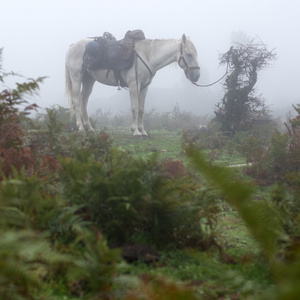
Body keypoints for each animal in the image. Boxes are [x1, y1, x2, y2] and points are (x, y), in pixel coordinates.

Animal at [64, 33, 200, 136]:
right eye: (189, 54)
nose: (197, 76)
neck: (147, 56)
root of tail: (72, 46)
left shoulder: (144, 87)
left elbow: (141, 109)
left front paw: (142, 131)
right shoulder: (134, 85)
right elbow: (134, 107)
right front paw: (135, 131)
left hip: (88, 81)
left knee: (84, 103)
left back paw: (90, 128)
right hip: (76, 78)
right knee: (76, 102)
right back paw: (81, 128)